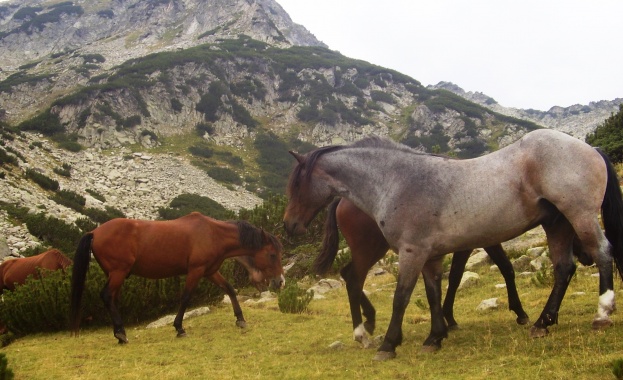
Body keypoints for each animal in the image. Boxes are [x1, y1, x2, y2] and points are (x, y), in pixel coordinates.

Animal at [70, 214, 286, 344]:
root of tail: (94, 232)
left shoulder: (209, 271)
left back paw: (119, 332)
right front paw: (179, 328)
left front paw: (240, 319)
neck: (212, 234)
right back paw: (121, 334)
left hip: (115, 274)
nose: (280, 281)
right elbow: (186, 297)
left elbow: (230, 289)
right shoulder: (196, 270)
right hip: (118, 272)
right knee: (107, 296)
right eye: (272, 254)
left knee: (113, 299)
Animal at [316, 197, 528, 348]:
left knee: (347, 274)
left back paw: (370, 319)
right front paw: (520, 311)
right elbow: (506, 268)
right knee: (354, 279)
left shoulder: (466, 246)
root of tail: (341, 200)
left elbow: (456, 276)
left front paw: (448, 318)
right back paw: (362, 334)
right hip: (369, 249)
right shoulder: (485, 241)